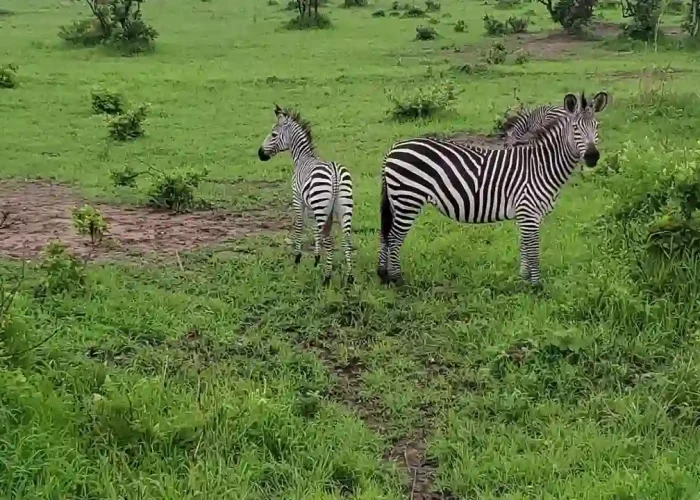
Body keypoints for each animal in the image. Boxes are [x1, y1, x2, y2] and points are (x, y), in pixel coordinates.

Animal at [258, 105, 354, 286]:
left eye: (273, 134)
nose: (259, 154)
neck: (302, 157)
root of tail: (335, 173)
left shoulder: (298, 199)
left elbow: (299, 225)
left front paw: (297, 258)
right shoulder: (311, 205)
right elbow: (314, 229)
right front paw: (316, 258)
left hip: (322, 206)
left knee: (329, 241)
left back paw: (327, 278)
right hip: (344, 207)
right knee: (346, 240)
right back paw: (350, 277)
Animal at [377, 91, 609, 286]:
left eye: (597, 127)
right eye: (576, 128)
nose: (592, 157)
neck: (541, 165)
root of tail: (393, 149)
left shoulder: (527, 214)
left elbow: (524, 245)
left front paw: (523, 279)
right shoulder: (529, 211)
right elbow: (533, 248)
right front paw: (536, 286)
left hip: (398, 199)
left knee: (385, 234)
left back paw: (383, 275)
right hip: (408, 198)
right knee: (394, 237)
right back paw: (396, 279)